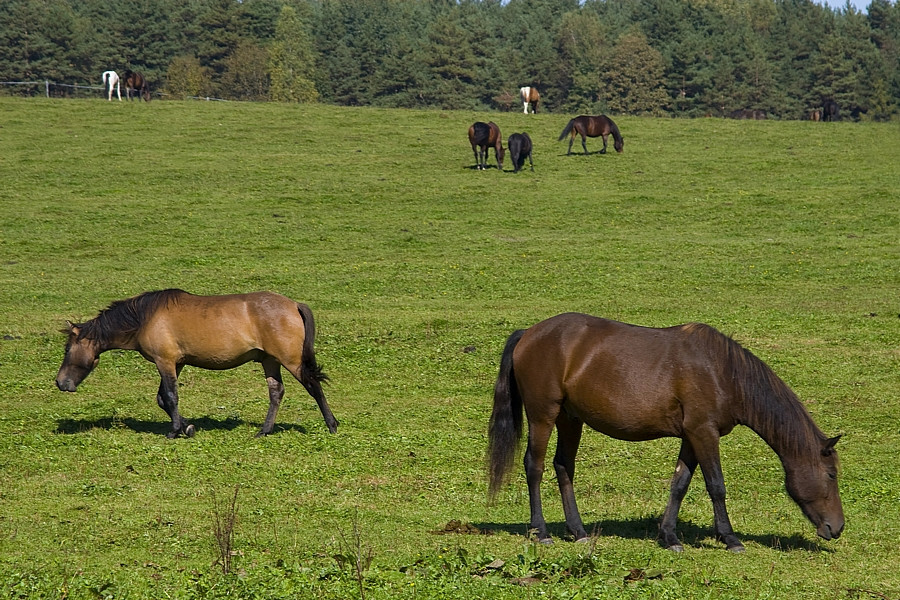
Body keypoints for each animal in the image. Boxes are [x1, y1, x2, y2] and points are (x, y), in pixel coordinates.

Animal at [56, 288, 338, 438]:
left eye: (68, 348)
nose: (60, 382)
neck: (145, 318)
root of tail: (293, 304)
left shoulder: (165, 361)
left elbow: (170, 397)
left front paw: (175, 431)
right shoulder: (177, 363)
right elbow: (162, 398)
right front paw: (186, 426)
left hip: (291, 360)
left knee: (313, 386)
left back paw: (332, 424)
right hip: (269, 360)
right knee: (276, 392)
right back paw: (264, 430)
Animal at [486, 314, 844, 552]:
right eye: (831, 475)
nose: (837, 528)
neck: (723, 372)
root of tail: (529, 333)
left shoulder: (691, 436)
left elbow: (679, 484)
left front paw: (669, 536)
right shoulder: (704, 432)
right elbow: (716, 486)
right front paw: (729, 538)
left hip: (570, 420)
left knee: (563, 467)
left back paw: (578, 530)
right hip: (543, 417)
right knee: (534, 467)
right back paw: (541, 531)